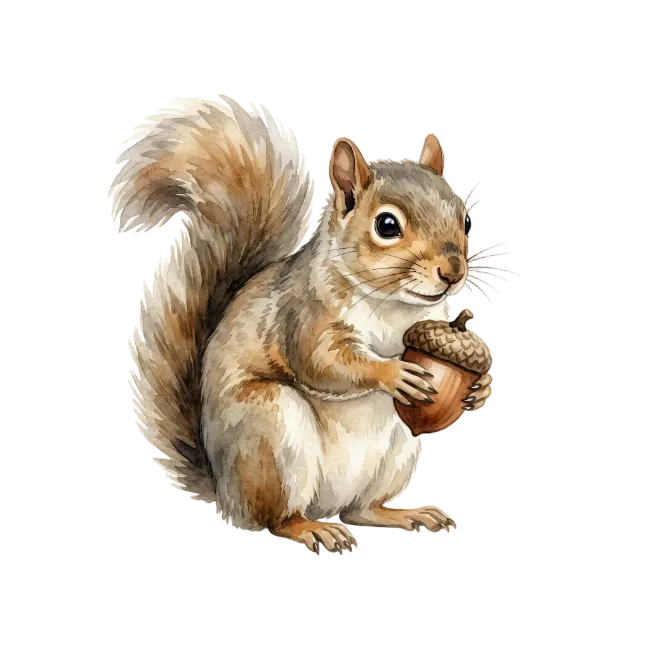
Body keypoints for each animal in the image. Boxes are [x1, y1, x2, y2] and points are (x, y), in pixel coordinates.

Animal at [112, 95, 492, 553]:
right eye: (386, 226)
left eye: (466, 219)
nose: (453, 272)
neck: (394, 306)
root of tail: (226, 493)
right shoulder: (302, 315)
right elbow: (322, 361)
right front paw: (392, 372)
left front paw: (482, 385)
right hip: (270, 429)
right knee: (276, 518)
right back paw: (311, 529)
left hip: (400, 448)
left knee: (360, 510)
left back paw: (402, 513)